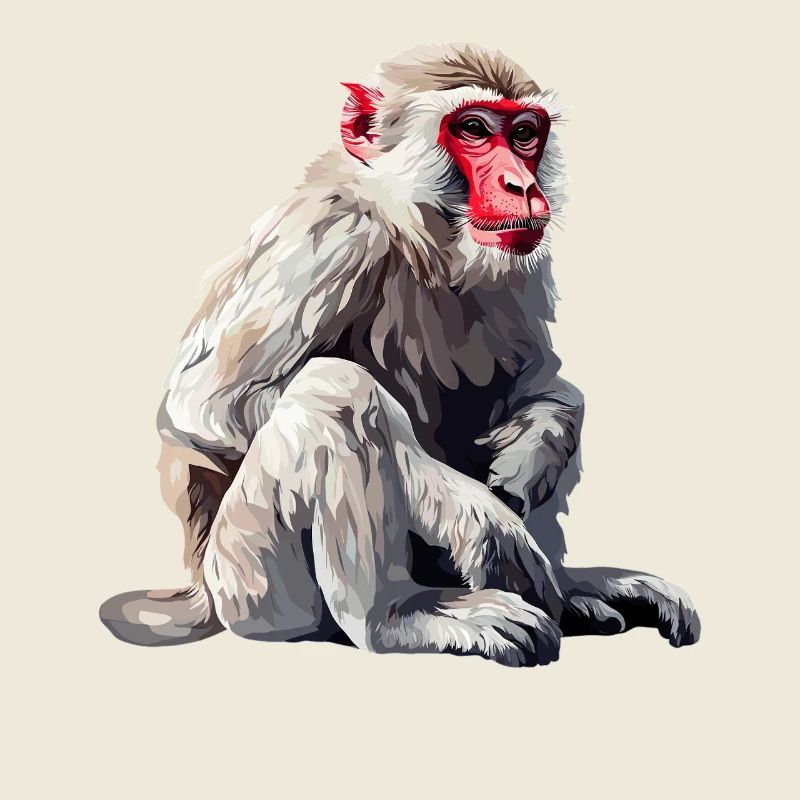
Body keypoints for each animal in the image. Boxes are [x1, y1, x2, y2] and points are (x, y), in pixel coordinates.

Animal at [100, 43, 700, 666]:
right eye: (473, 129)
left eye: (524, 134)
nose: (521, 184)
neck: (416, 230)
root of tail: (201, 593)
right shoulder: (331, 235)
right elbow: (207, 410)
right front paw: (470, 511)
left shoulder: (520, 260)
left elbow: (543, 383)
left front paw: (533, 452)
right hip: (250, 585)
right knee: (334, 393)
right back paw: (399, 617)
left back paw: (572, 590)